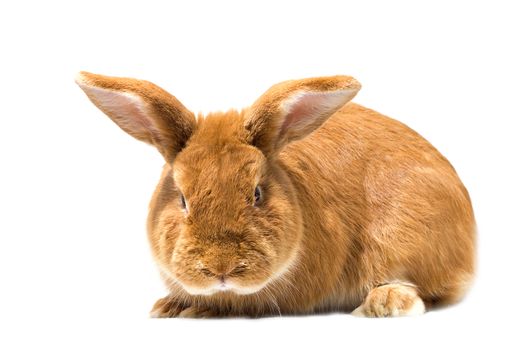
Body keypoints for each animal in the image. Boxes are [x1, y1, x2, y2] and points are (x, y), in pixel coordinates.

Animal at [74, 71, 474, 318]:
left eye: (257, 194)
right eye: (183, 199)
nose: (221, 267)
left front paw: (195, 309)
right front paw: (171, 307)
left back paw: (386, 303)